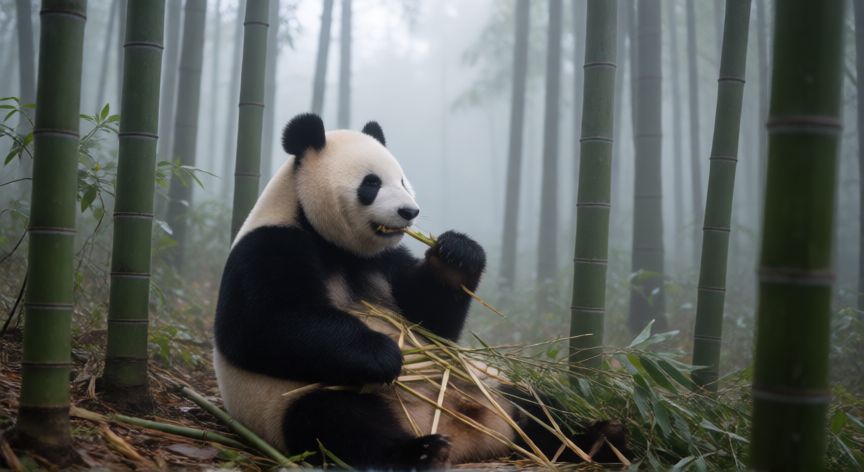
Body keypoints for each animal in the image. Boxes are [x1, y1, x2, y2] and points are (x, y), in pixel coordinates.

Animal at [213, 113, 628, 469]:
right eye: (371, 183)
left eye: (402, 180)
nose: (409, 212)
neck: (326, 237)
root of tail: (470, 438)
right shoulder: (271, 245)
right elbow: (264, 324)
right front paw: (384, 354)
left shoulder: (385, 260)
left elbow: (431, 319)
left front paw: (457, 255)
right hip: (292, 401)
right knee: (338, 422)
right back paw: (422, 452)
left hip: (488, 383)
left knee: (539, 408)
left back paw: (597, 438)